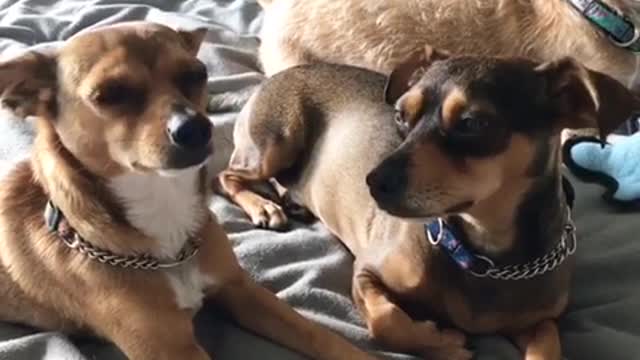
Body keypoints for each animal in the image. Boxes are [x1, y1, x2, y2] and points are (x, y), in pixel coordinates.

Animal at [220, 48, 640, 360]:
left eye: (472, 123)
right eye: (400, 115)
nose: (373, 182)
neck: (486, 254)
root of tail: (280, 73)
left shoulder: (541, 321)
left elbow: (548, 345)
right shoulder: (365, 272)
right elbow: (388, 323)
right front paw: (445, 342)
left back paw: (290, 201)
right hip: (275, 141)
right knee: (227, 175)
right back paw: (264, 206)